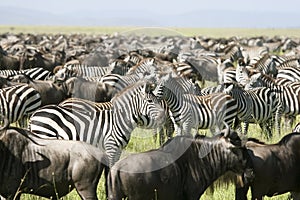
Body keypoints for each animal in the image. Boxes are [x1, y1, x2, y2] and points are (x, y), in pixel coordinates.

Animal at [28, 81, 166, 167]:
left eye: (159, 101)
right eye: (150, 101)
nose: (164, 116)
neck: (119, 120)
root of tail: (34, 115)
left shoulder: (118, 150)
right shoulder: (111, 147)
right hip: (45, 136)